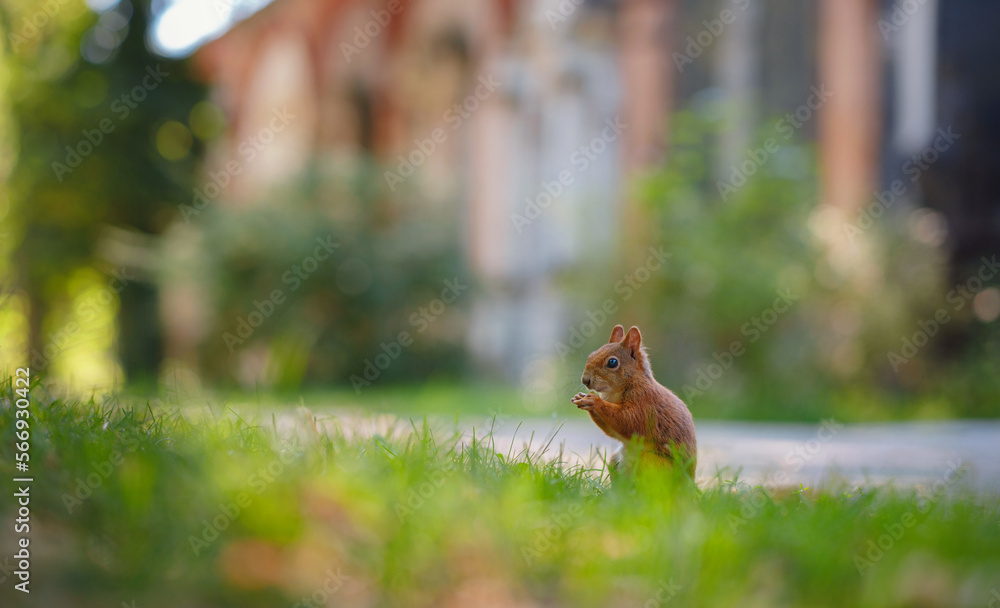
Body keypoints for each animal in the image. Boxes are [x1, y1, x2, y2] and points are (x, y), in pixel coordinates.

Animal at [571, 324, 697, 477]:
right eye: (591, 355)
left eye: (612, 362)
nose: (585, 380)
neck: (615, 391)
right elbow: (612, 430)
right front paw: (581, 398)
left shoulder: (645, 402)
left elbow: (629, 421)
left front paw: (595, 401)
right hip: (616, 461)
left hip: (652, 463)